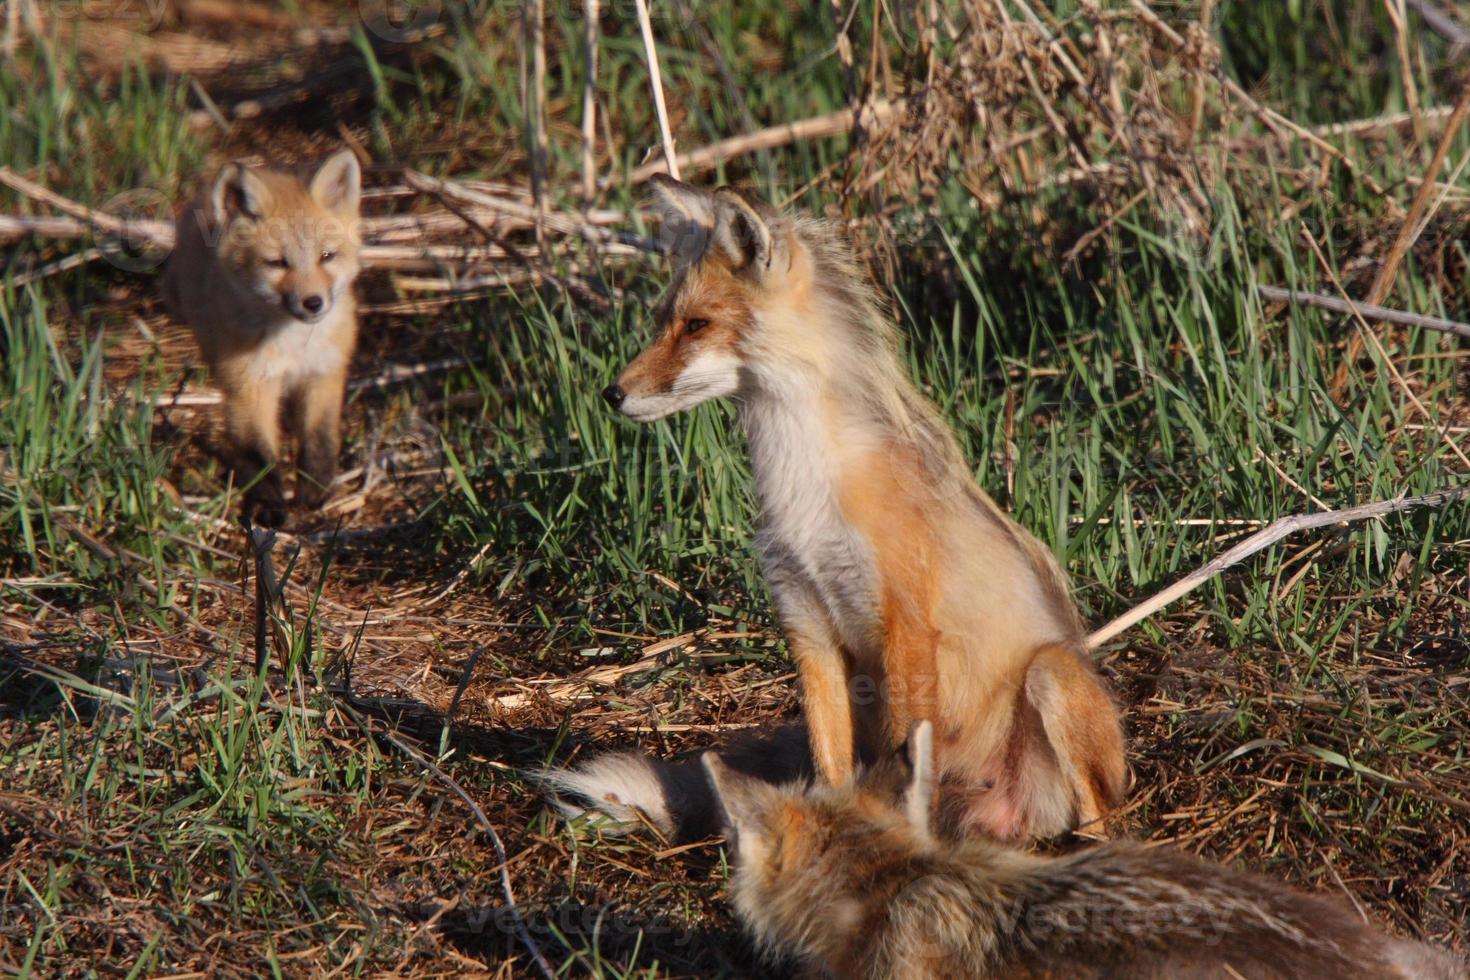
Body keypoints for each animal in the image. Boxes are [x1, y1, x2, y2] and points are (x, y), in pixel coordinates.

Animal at [161, 150, 361, 528]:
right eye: (277, 263)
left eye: (326, 256)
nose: (313, 303)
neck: (293, 346)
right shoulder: (247, 385)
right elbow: (258, 455)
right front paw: (268, 505)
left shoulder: (323, 373)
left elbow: (319, 439)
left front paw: (316, 489)